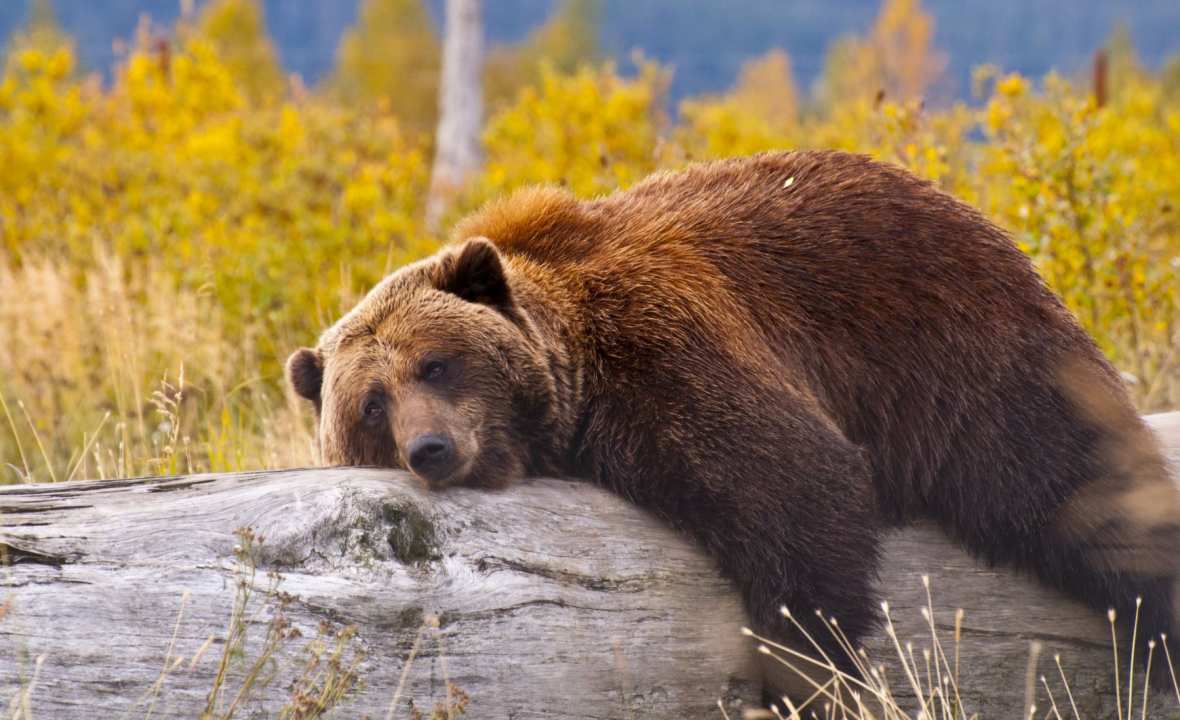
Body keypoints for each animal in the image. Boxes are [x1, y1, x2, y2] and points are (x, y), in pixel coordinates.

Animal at [285, 149, 1180, 679]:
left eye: (434, 362)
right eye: (371, 404)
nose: (431, 447)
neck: (581, 374)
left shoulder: (668, 345)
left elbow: (795, 486)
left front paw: (805, 664)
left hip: (969, 362)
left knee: (1082, 492)